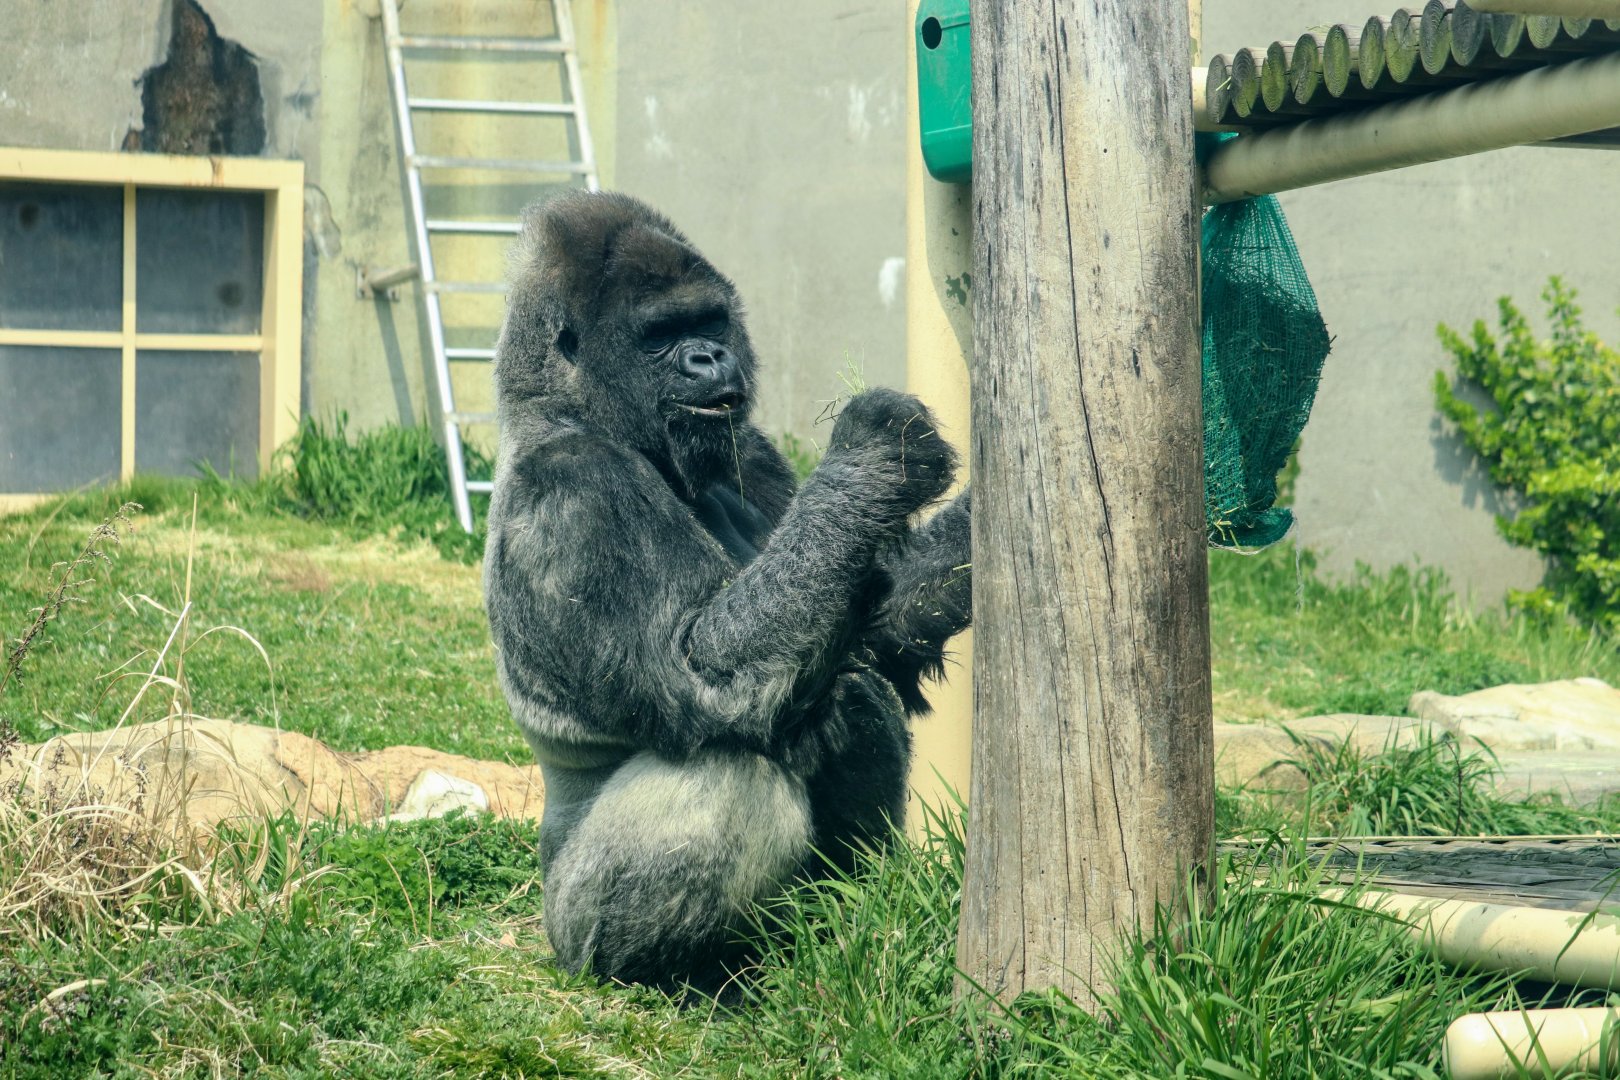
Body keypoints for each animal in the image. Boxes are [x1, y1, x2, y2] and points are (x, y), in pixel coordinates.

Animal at [483, 191, 972, 994]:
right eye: (660, 337)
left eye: (709, 324)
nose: (709, 358)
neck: (564, 405)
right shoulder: (577, 487)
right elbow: (701, 670)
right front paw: (872, 458)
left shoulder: (752, 450)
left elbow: (875, 621)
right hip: (570, 931)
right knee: (732, 769)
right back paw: (677, 974)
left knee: (851, 691)